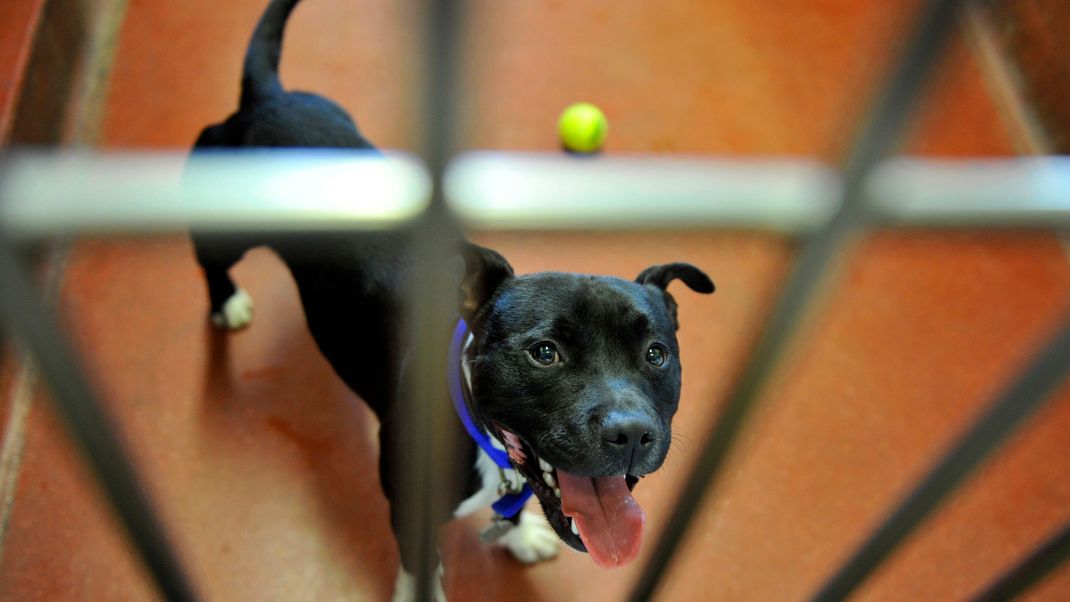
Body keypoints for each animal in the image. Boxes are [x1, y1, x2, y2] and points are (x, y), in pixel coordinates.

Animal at [189, 1, 714, 598]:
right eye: (544, 353)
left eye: (656, 354)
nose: (630, 433)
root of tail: (266, 96)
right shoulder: (407, 510)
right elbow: (422, 565)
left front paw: (518, 534)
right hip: (221, 223)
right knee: (209, 259)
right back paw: (225, 301)